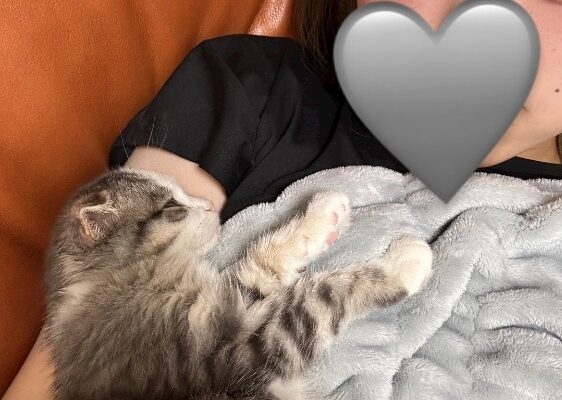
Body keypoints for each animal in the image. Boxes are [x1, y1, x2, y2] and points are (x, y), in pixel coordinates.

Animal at [43, 167, 433, 400]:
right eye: (171, 206)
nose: (209, 205)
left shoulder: (228, 309)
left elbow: (261, 263)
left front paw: (324, 215)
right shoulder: (234, 353)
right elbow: (319, 297)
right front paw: (404, 263)